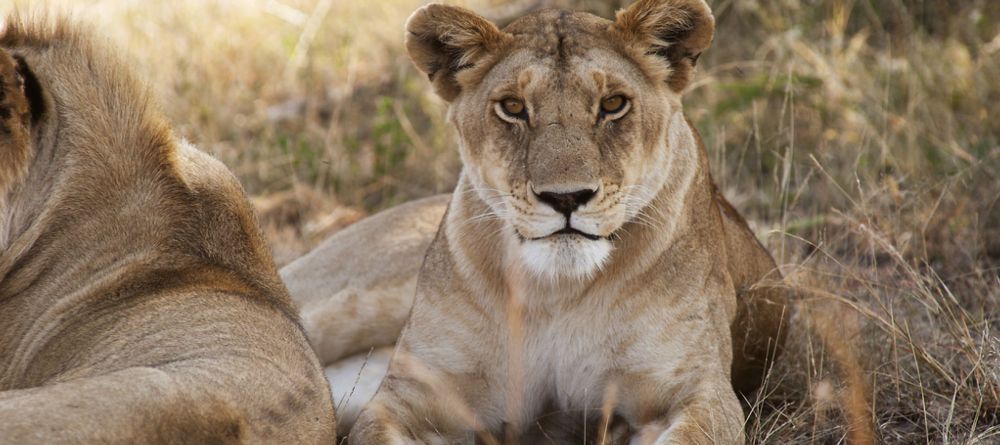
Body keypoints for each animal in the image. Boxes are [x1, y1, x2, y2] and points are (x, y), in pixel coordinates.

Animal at [282, 0, 788, 440]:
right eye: (512, 107)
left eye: (613, 104)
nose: (566, 197)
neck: (556, 294)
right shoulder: (410, 400)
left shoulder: (696, 395)